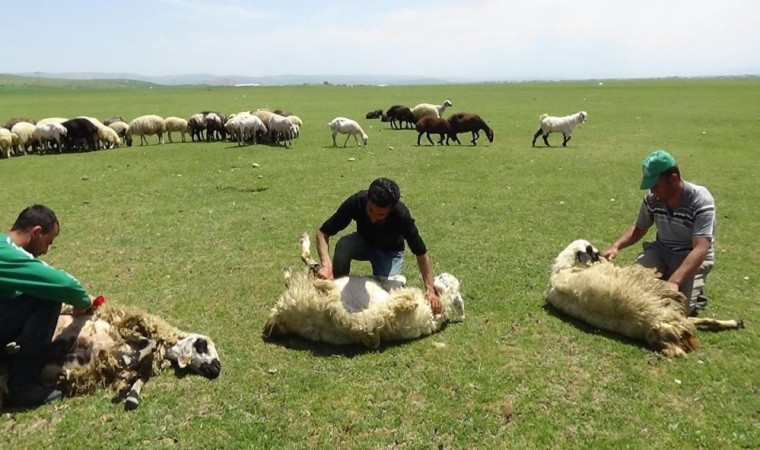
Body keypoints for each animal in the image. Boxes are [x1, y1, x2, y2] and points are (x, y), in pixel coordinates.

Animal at [0, 302, 220, 412]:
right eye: (203, 344)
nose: (217, 369)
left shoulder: (136, 368)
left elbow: (139, 378)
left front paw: (132, 397)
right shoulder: (126, 328)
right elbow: (148, 342)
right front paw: (132, 357)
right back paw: (13, 346)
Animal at [262, 234, 464, 346]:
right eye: (442, 277)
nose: (437, 277)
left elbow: (398, 280)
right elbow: (399, 279)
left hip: (314, 293)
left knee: (307, 265)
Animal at [544, 239, 744, 358]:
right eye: (591, 250)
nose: (600, 254)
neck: (559, 271)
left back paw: (737, 323)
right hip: (672, 310)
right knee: (699, 322)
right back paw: (736, 322)